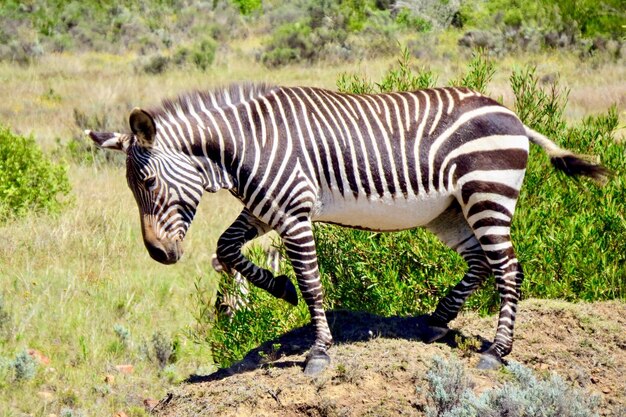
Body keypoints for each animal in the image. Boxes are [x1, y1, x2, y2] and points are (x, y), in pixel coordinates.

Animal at [86, 83, 604, 374]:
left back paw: (497, 350)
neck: (243, 150)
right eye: (132, 188)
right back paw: (437, 320)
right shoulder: (265, 208)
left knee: (508, 269)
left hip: (486, 194)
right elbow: (227, 247)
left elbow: (313, 285)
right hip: (450, 211)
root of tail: (515, 116)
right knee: (479, 261)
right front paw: (279, 287)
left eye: (148, 183)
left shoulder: (293, 213)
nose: (159, 255)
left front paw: (319, 352)